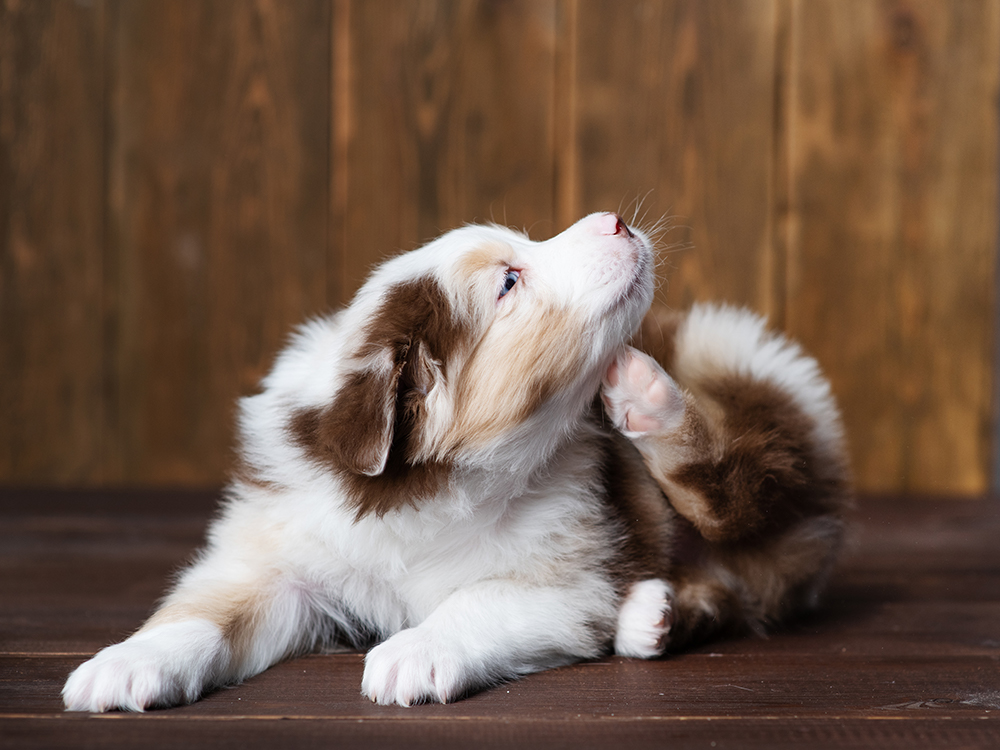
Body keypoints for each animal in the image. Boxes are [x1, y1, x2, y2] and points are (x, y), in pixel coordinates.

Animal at [60, 213, 844, 716]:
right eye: (509, 281)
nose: (616, 220)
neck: (429, 489)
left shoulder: (566, 579)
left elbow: (475, 599)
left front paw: (413, 653)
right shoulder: (279, 553)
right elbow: (202, 611)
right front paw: (123, 664)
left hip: (737, 383)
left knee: (741, 489)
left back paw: (644, 397)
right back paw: (651, 615)